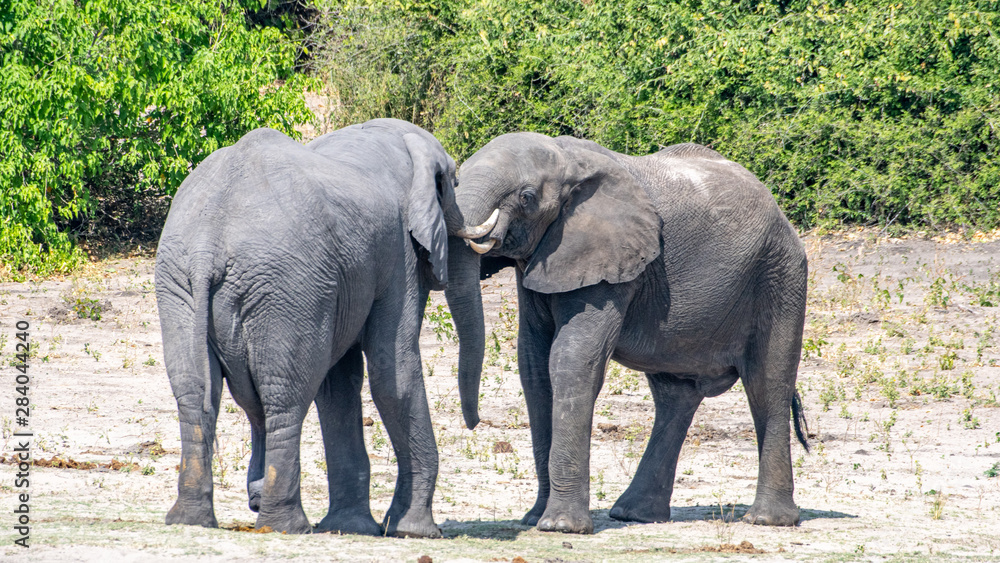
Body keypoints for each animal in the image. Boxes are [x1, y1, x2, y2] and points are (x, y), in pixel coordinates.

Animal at [154, 118, 486, 536]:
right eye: (453, 184)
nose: (475, 424)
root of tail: (207, 246)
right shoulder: (399, 255)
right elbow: (392, 372)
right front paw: (415, 531)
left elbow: (337, 385)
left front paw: (352, 526)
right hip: (285, 283)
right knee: (286, 395)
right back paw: (285, 525)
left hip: (181, 283)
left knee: (195, 394)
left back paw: (193, 519)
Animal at [446, 133, 810, 534]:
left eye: (526, 197)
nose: (474, 423)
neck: (566, 157)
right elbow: (534, 366)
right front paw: (534, 519)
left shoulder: (608, 260)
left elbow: (571, 360)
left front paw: (560, 527)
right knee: (675, 395)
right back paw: (636, 514)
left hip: (780, 273)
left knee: (767, 384)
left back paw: (767, 520)